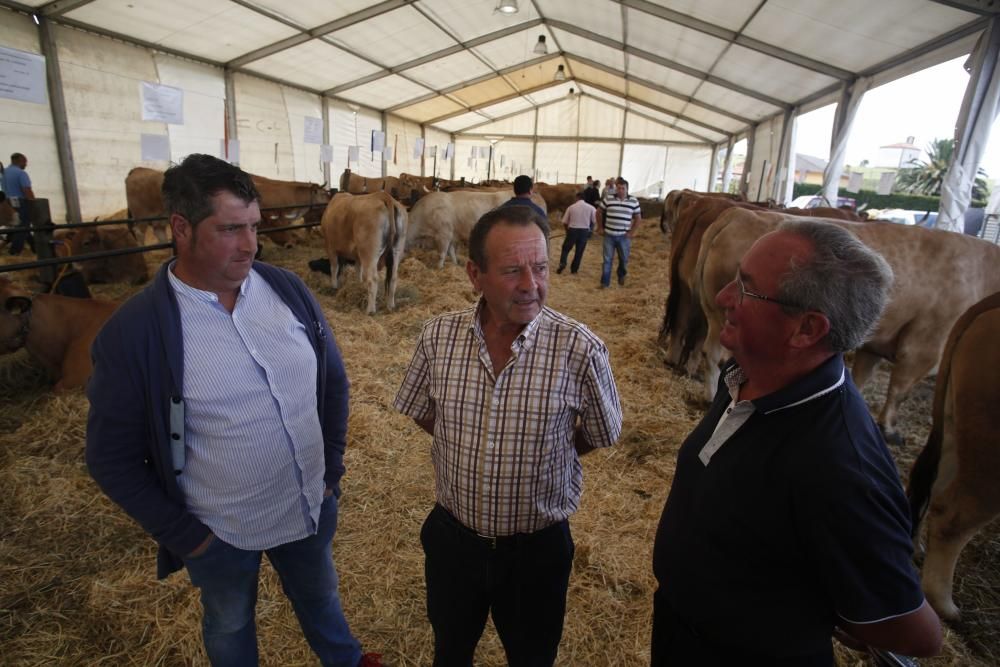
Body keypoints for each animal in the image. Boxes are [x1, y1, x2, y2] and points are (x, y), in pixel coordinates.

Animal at [692, 211, 1000, 440]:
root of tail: (738, 212)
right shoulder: (925, 344)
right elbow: (899, 389)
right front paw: (888, 428)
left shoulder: (875, 346)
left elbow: (863, 376)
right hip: (719, 315)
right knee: (714, 355)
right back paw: (709, 396)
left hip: (714, 310)